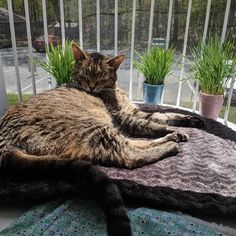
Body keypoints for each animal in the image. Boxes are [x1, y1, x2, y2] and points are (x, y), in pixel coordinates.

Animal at [0, 42, 204, 236]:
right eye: (85, 75)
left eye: (101, 77)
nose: (91, 86)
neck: (113, 90)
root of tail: (5, 145)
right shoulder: (125, 118)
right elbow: (153, 123)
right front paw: (174, 130)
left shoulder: (133, 112)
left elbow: (165, 114)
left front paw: (190, 120)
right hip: (96, 128)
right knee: (130, 155)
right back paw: (170, 144)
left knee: (134, 144)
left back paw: (170, 138)